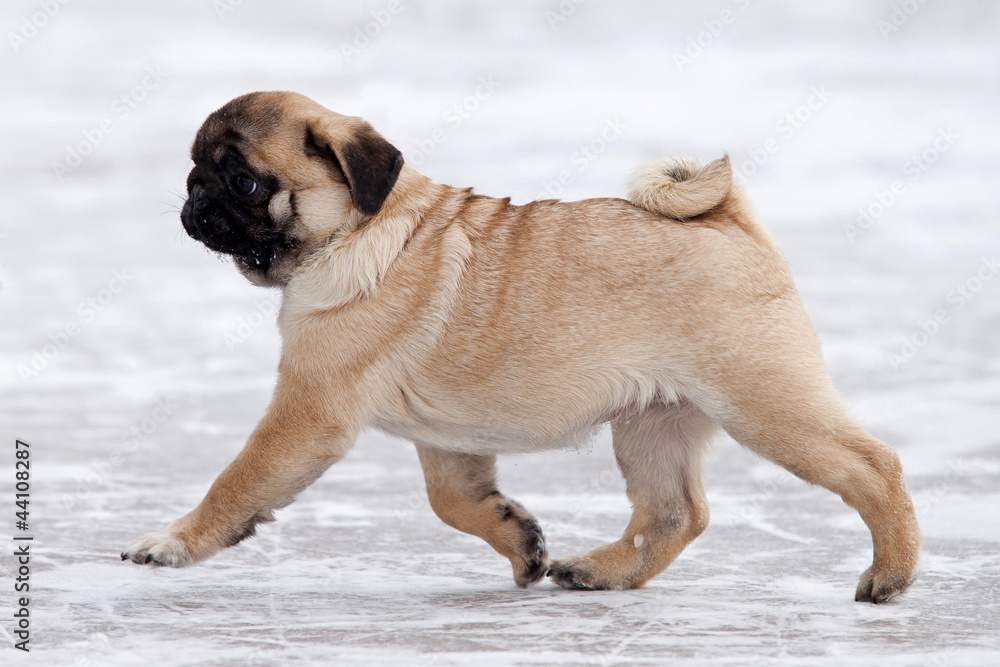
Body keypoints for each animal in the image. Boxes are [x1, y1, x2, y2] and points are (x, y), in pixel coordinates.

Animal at [121, 90, 916, 604]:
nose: (193, 198)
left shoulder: (308, 413)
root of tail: (725, 219)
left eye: (244, 180)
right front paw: (520, 541)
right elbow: (455, 501)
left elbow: (239, 480)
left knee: (873, 465)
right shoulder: (446, 441)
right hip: (654, 422)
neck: (359, 231)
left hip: (765, 400)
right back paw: (601, 572)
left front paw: (174, 542)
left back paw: (892, 573)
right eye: (196, 169)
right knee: (674, 513)